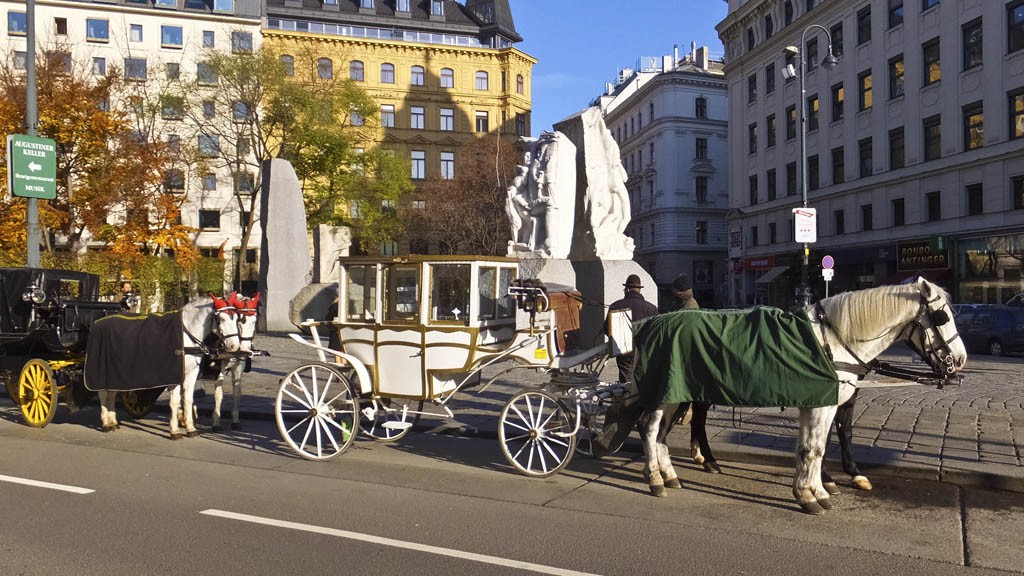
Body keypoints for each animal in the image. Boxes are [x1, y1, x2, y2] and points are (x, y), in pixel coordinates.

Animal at [96, 293, 247, 436]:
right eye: (222, 319)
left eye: (237, 319)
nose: (234, 346)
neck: (185, 336)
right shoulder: (174, 374)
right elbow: (174, 401)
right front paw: (175, 430)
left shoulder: (192, 373)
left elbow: (188, 399)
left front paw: (190, 428)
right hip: (104, 370)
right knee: (103, 393)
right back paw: (106, 423)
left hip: (116, 372)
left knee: (112, 393)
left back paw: (113, 421)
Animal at [209, 293, 258, 428]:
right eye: (239, 321)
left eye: (254, 321)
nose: (245, 348)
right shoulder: (218, 369)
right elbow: (218, 394)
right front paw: (216, 421)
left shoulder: (238, 366)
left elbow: (237, 392)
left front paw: (235, 420)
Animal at [630, 278, 966, 510]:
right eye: (943, 317)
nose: (961, 360)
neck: (834, 340)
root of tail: (649, 324)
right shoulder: (822, 405)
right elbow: (815, 449)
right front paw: (809, 495)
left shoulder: (821, 402)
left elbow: (812, 447)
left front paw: (817, 489)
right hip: (667, 393)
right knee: (649, 428)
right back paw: (655, 478)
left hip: (678, 392)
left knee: (663, 432)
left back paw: (672, 473)